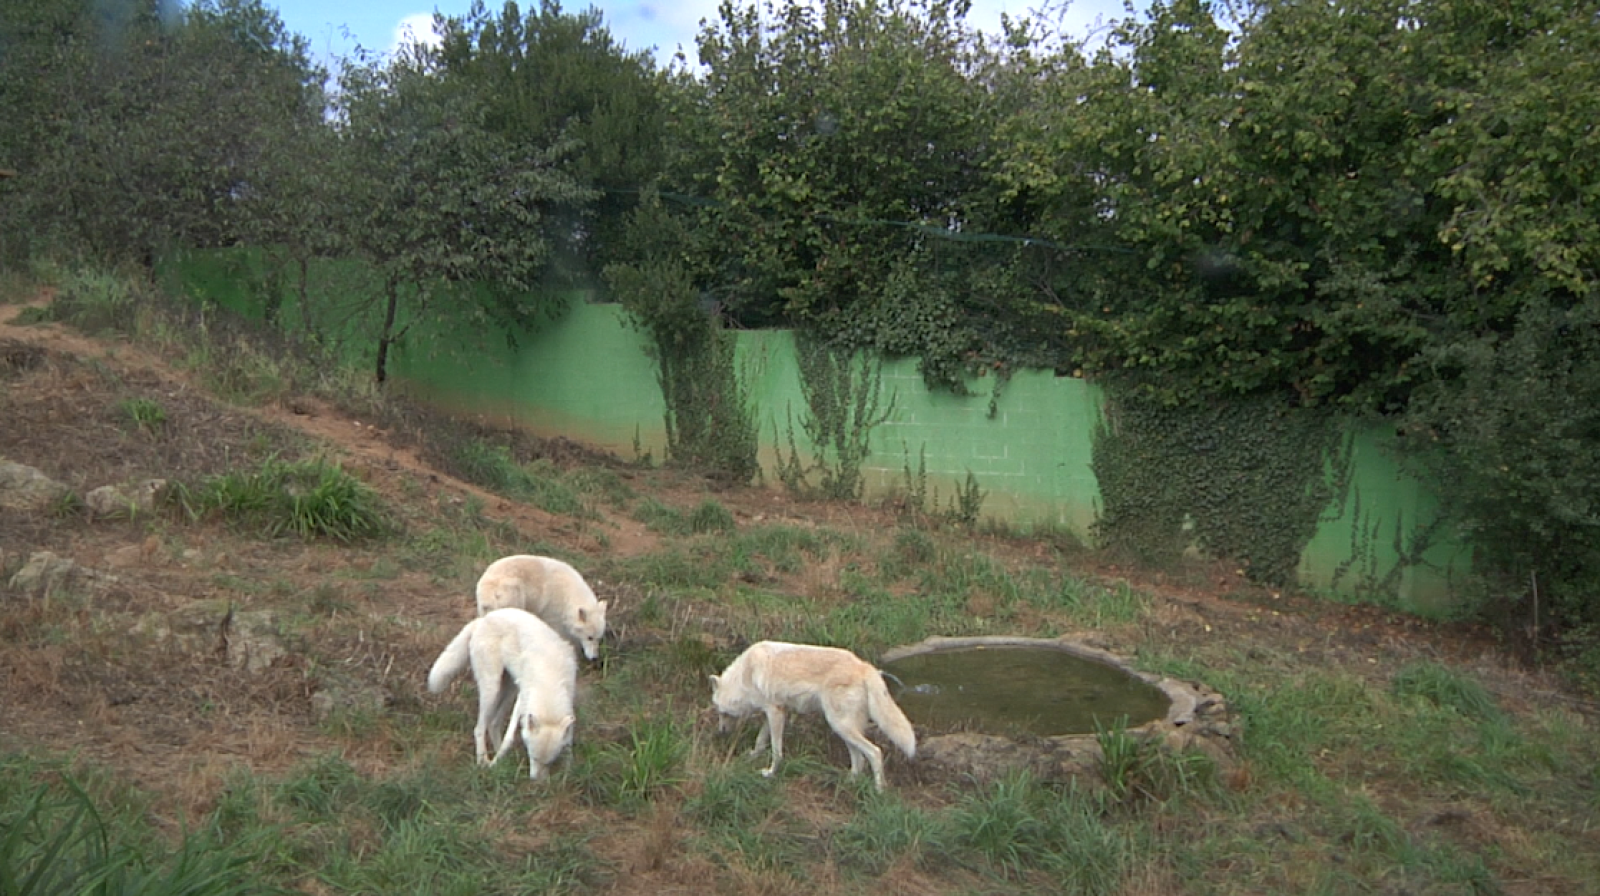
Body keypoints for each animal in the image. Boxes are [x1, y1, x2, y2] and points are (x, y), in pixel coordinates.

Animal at [427, 607, 578, 779]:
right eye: (533, 757)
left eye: (549, 762)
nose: (536, 782)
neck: (548, 678)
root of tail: (482, 619)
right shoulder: (522, 700)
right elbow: (509, 738)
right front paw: (494, 764)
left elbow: (569, 742)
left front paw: (568, 771)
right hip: (492, 689)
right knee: (479, 728)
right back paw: (483, 761)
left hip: (509, 690)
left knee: (493, 723)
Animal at [475, 555, 608, 660]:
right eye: (590, 638)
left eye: (599, 639)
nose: (595, 658)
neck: (568, 595)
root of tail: (489, 590)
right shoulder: (553, 618)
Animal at [709, 641, 917, 791]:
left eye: (721, 712)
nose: (720, 732)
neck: (745, 675)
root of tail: (866, 667)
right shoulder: (776, 712)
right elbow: (761, 741)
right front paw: (753, 756)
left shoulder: (775, 713)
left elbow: (777, 751)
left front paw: (770, 773)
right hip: (843, 729)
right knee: (859, 759)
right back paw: (848, 782)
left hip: (840, 725)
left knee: (875, 753)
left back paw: (879, 791)